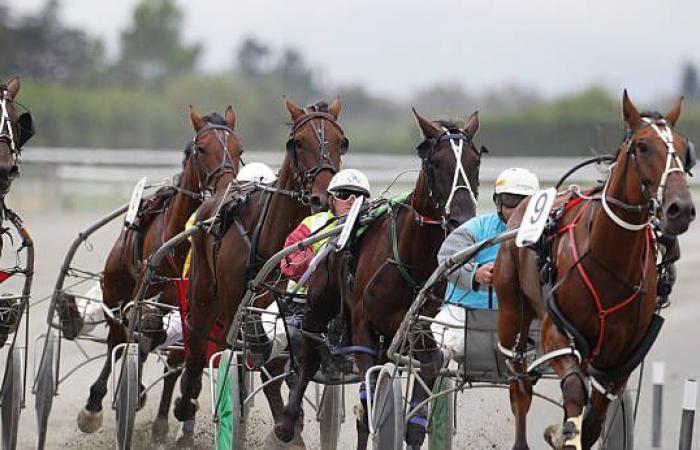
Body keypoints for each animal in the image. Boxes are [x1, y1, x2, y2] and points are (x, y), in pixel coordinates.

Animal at [76, 105, 243, 436]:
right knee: (118, 338)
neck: (180, 244)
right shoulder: (144, 293)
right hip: (115, 289)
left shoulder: (186, 303)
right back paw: (97, 401)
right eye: (201, 149)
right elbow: (135, 338)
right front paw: (112, 400)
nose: (226, 187)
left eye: (238, 149)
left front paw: (166, 417)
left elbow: (176, 356)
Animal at [174, 97, 348, 432]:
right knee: (199, 347)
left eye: (341, 142)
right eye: (297, 142)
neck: (269, 239)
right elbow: (256, 362)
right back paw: (186, 405)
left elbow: (280, 362)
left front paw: (292, 419)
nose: (323, 197)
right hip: (205, 293)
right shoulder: (238, 306)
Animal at [276, 109, 484, 450]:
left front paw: (412, 430)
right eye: (436, 162)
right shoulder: (364, 327)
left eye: (475, 160)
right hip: (321, 301)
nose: (462, 219)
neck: (411, 262)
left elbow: (430, 366)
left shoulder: (417, 330)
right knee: (309, 352)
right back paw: (286, 421)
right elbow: (368, 388)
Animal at [494, 89, 696, 448]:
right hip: (512, 313)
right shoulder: (557, 331)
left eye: (686, 150)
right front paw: (561, 433)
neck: (609, 260)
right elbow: (574, 391)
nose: (680, 209)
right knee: (519, 383)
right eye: (642, 146)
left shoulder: (620, 359)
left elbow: (593, 420)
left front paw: (564, 432)